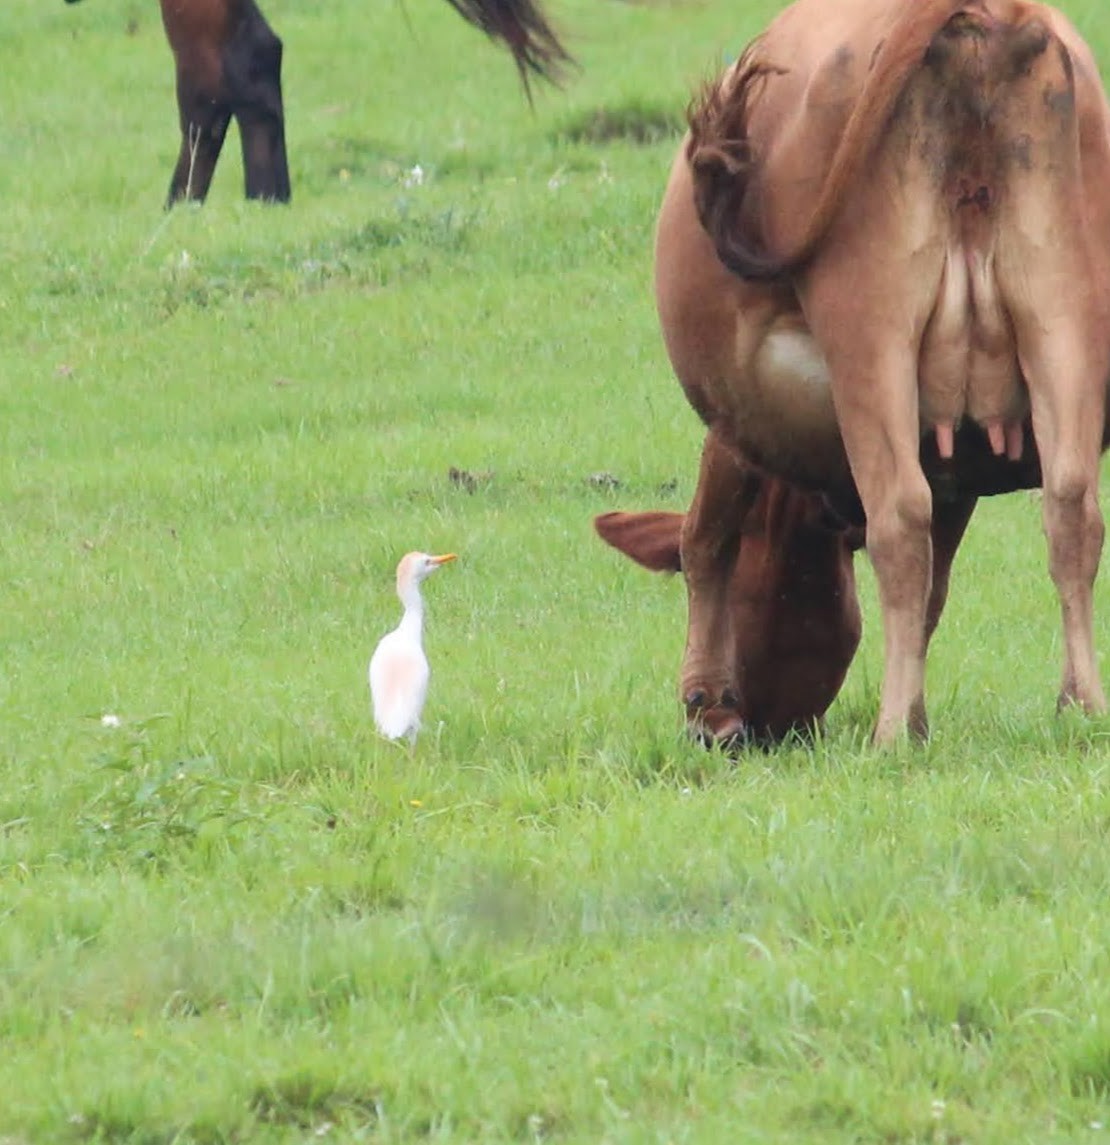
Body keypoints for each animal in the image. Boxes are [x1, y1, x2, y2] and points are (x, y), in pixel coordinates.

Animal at [596, 0, 1110, 747]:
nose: (759, 731)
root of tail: (988, 15)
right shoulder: (952, 457)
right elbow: (935, 590)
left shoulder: (736, 427)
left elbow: (704, 538)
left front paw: (706, 698)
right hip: (1062, 311)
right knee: (1071, 510)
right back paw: (1081, 705)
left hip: (869, 328)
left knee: (899, 517)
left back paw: (890, 734)